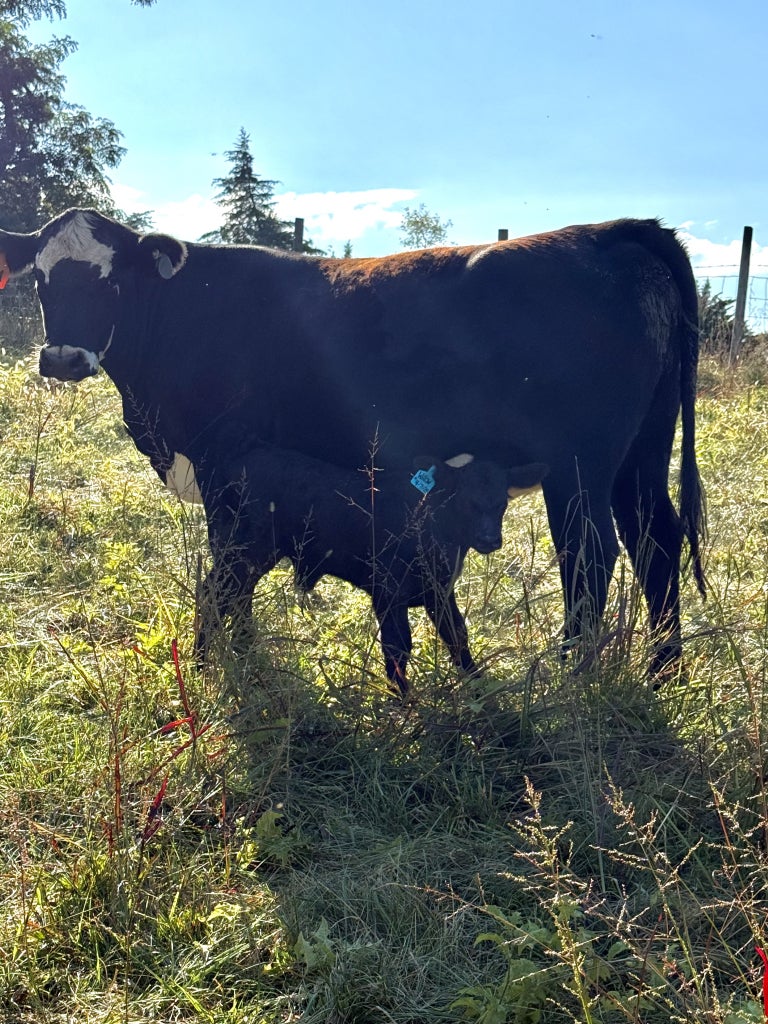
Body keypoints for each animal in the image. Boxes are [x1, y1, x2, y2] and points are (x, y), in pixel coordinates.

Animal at [196, 447, 547, 695]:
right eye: (465, 499)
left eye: (502, 501)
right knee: (212, 595)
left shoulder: (438, 589)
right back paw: (202, 666)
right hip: (242, 551)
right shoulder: (388, 590)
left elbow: (456, 634)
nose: (489, 539)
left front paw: (478, 686)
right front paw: (402, 700)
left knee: (236, 598)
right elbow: (397, 646)